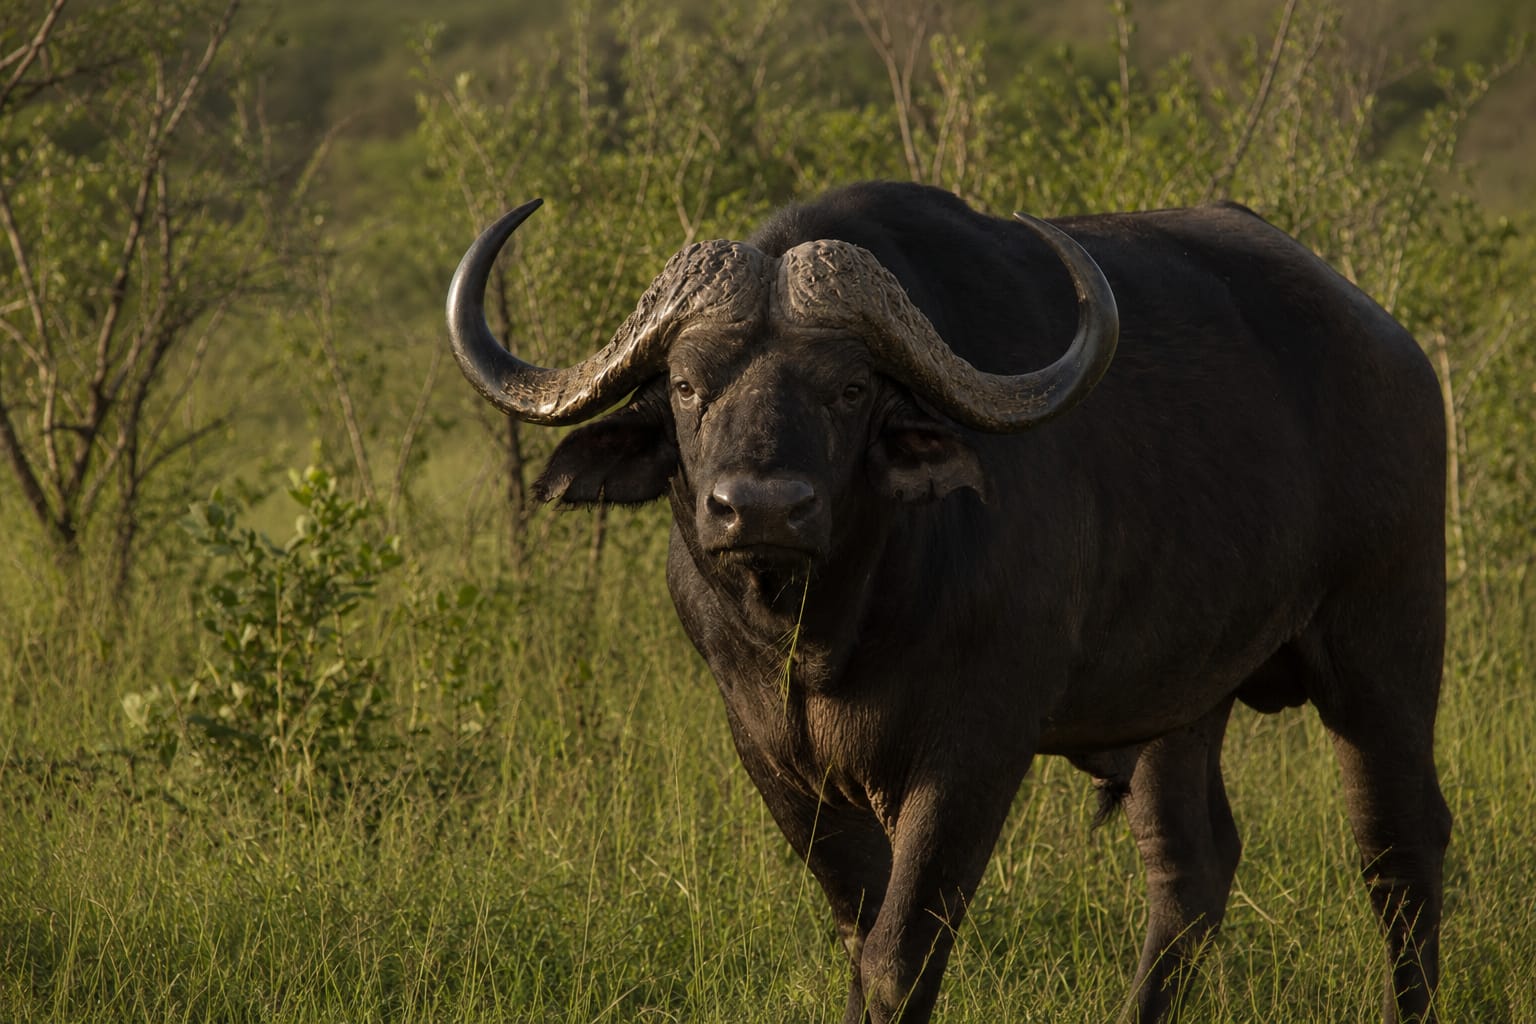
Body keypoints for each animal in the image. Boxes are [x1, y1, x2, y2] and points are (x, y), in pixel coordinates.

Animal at [446, 181, 1450, 1023]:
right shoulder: (772, 758)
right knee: (1190, 866)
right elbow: (862, 941)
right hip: (1182, 700)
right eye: (688, 385)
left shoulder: (973, 752)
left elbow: (904, 954)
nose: (759, 507)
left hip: (1386, 648)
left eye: (851, 387)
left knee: (1399, 849)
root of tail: (1393, 347)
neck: (830, 633)